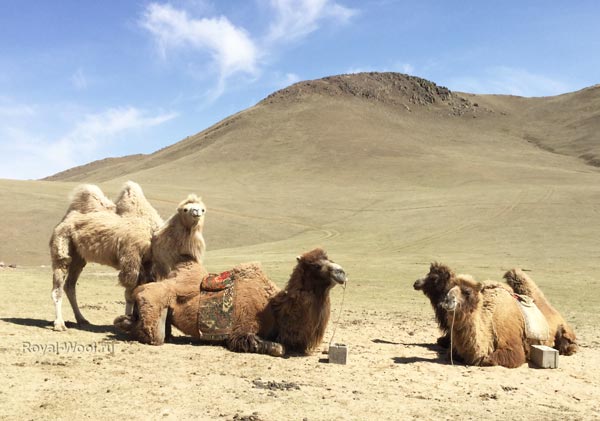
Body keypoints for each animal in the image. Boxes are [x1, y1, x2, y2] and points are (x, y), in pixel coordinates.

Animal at [49, 185, 204, 330]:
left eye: (203, 209)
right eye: (185, 209)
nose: (196, 212)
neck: (154, 236)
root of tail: (65, 219)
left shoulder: (147, 264)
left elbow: (141, 291)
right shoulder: (131, 260)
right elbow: (129, 294)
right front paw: (127, 321)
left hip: (78, 257)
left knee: (70, 285)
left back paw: (82, 319)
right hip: (62, 245)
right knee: (58, 285)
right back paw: (59, 324)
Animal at [114, 248, 346, 356]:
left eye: (330, 259)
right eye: (316, 265)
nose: (341, 272)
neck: (273, 308)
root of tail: (140, 289)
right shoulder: (241, 332)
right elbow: (278, 348)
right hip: (154, 305)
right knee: (154, 335)